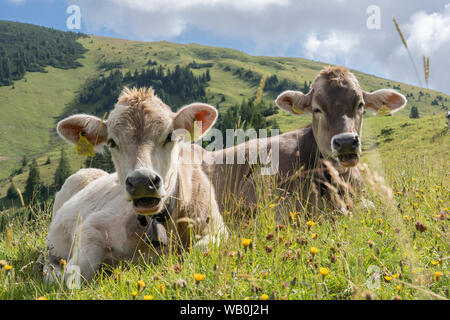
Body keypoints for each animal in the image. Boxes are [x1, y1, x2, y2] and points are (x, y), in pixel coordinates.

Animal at [44, 87, 227, 282]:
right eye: (112, 142)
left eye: (169, 136)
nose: (142, 181)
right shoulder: (92, 225)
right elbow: (74, 273)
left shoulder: (218, 228)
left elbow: (202, 249)